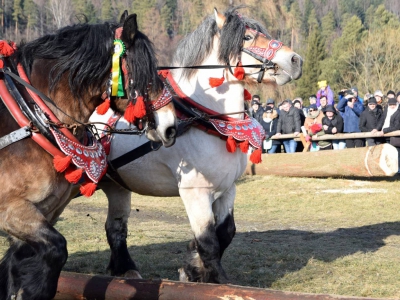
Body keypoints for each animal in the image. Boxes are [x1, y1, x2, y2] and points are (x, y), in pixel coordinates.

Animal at [0, 10, 177, 298]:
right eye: (146, 72)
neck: (30, 120)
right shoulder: (11, 211)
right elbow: (55, 251)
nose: (171, 127)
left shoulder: (41, 215)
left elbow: (15, 269)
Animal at [91, 6, 304, 284]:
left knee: (115, 227)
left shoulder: (227, 189)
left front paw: (192, 268)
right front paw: (216, 281)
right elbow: (208, 241)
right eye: (247, 37)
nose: (295, 60)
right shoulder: (195, 192)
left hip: (117, 186)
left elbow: (225, 232)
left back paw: (125, 268)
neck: (206, 119)